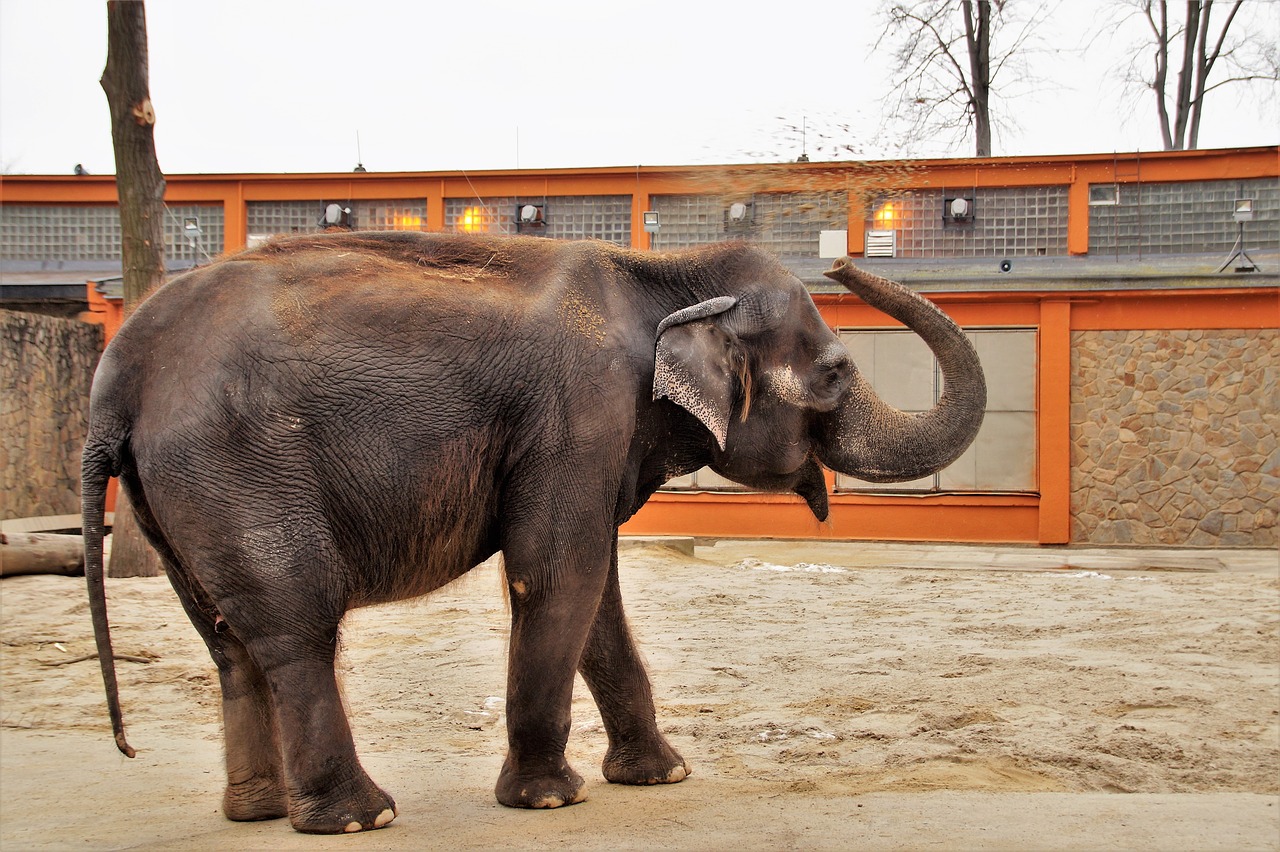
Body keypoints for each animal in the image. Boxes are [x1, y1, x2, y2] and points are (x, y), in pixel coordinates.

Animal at [80, 228, 983, 834]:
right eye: (834, 372)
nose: (842, 262)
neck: (659, 274)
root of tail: (115, 378)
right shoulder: (578, 410)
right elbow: (559, 573)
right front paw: (552, 798)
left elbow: (598, 593)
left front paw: (662, 777)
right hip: (239, 469)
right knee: (297, 626)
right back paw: (360, 818)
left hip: (178, 497)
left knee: (229, 640)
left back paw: (259, 813)